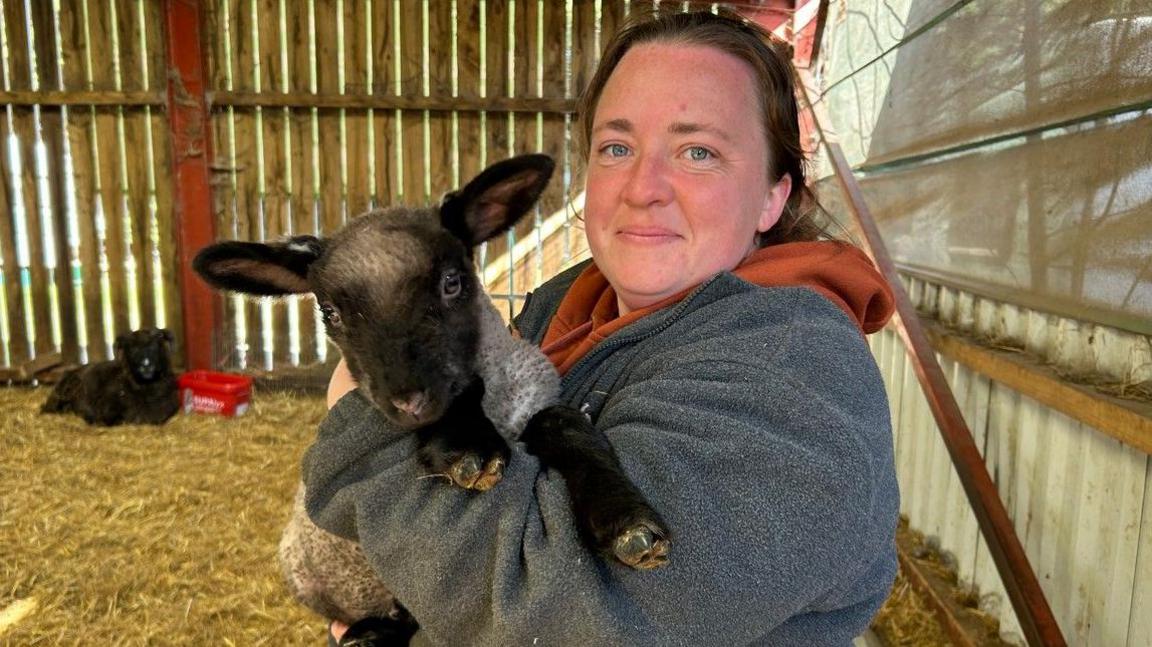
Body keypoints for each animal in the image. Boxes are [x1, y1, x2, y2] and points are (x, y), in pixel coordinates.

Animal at [193, 153, 672, 635]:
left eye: (452, 282)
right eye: (330, 313)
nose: (408, 401)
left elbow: (563, 424)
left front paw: (628, 524)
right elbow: (464, 397)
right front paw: (470, 448)